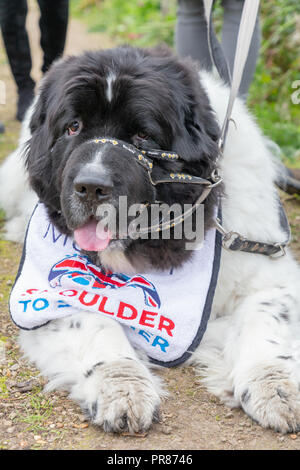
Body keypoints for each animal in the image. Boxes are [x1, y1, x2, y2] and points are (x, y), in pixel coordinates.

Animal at [0, 46, 300, 436]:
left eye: (143, 135)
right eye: (72, 127)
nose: (91, 186)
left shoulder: (270, 273)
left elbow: (265, 318)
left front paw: (274, 385)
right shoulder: (48, 296)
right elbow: (96, 324)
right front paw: (122, 387)